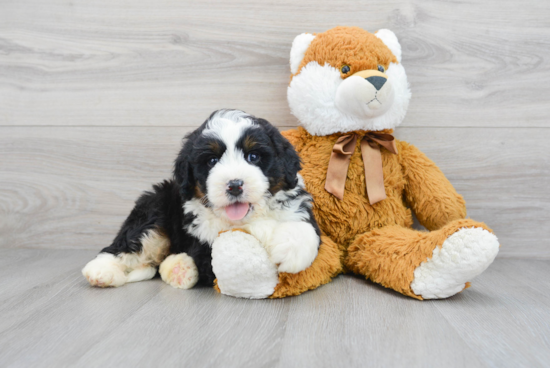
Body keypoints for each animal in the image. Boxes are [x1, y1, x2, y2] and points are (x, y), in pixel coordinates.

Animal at [83, 109, 322, 290]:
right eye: (212, 161)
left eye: (253, 157)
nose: (234, 185)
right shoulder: (204, 247)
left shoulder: (298, 208)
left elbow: (304, 228)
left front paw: (291, 249)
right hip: (154, 207)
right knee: (127, 244)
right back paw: (102, 271)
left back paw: (178, 268)